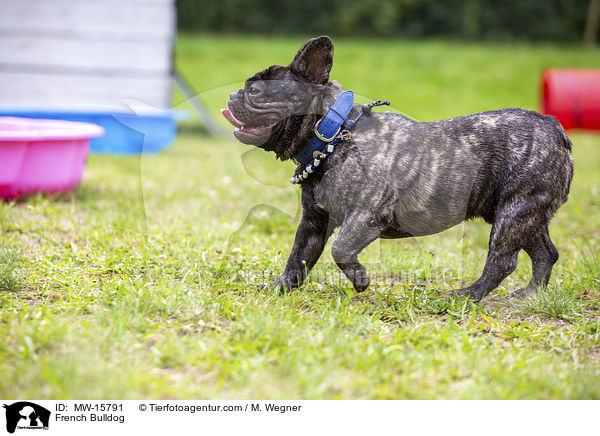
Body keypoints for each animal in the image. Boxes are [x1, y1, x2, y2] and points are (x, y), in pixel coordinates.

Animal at [223, 35, 576, 302]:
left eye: (255, 91)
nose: (233, 94)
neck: (332, 135)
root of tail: (553, 128)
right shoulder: (314, 221)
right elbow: (299, 257)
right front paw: (280, 288)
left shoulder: (366, 215)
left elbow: (340, 249)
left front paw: (360, 280)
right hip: (526, 215)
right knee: (545, 253)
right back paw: (531, 295)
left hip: (514, 213)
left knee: (502, 261)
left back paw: (468, 295)